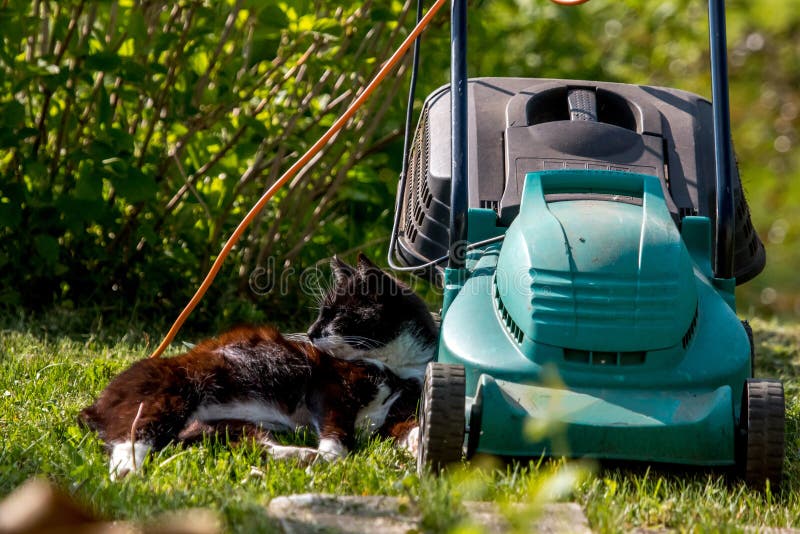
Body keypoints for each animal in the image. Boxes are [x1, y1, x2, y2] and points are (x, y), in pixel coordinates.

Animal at [80, 255, 438, 482]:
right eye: (320, 313)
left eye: (336, 315)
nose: (310, 332)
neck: (394, 366)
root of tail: (96, 402)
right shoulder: (328, 385)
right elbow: (338, 427)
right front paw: (334, 455)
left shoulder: (398, 406)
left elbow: (403, 424)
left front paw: (420, 442)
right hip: (171, 393)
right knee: (131, 437)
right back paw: (127, 472)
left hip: (226, 425)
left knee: (253, 444)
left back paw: (302, 456)